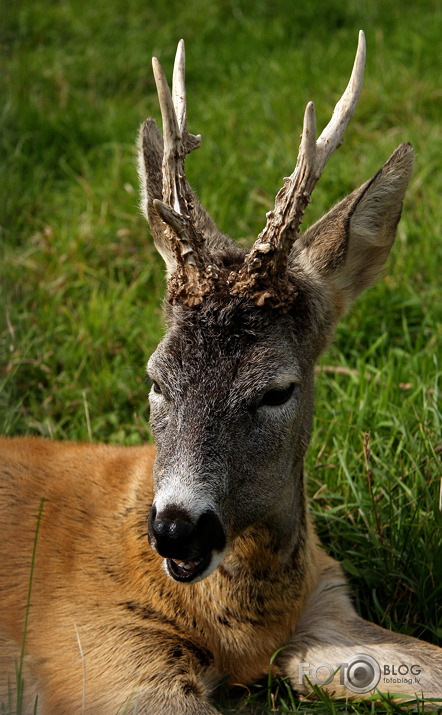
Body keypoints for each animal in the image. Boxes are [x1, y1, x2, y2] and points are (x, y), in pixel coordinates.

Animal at [0, 32, 442, 715]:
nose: (177, 530)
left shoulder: (326, 605)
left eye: (277, 391)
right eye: (155, 378)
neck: (243, 629)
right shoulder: (97, 653)